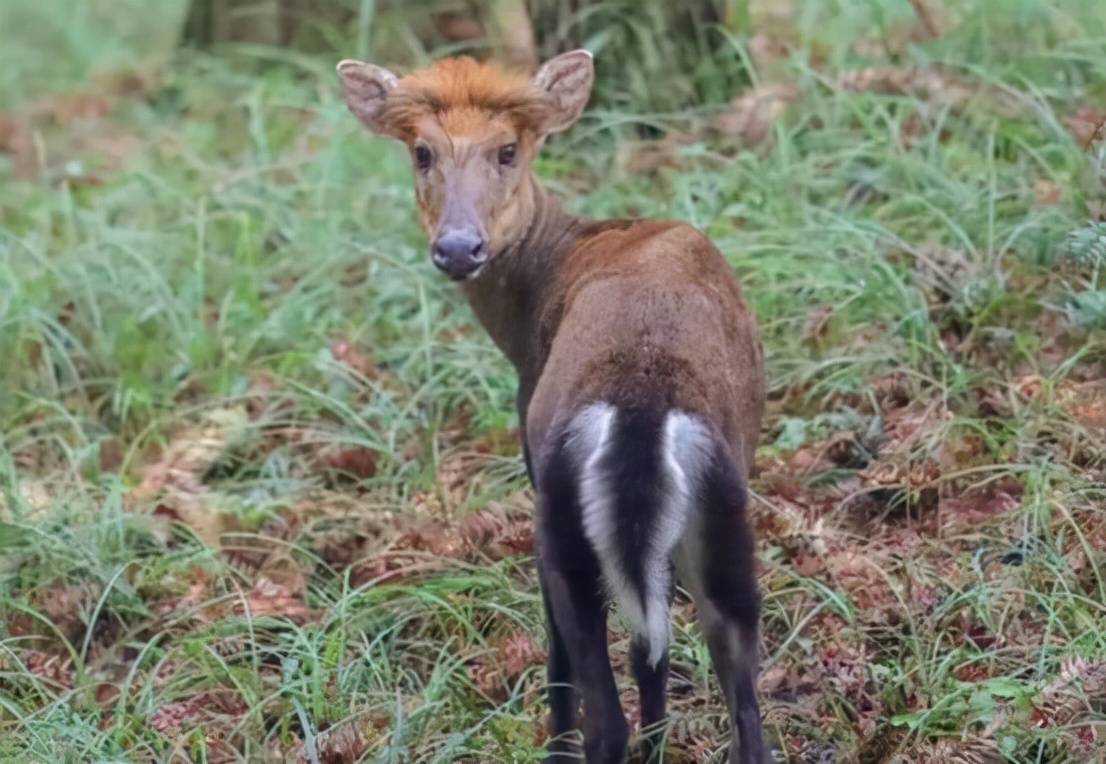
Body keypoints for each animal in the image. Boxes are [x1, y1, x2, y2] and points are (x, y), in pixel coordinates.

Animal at [336, 50, 769, 760]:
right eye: (422, 152)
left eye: (508, 149)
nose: (458, 247)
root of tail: (641, 403)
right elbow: (650, 651)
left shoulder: (532, 466)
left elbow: (561, 655)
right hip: (724, 512)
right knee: (740, 702)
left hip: (563, 515)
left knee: (601, 703)